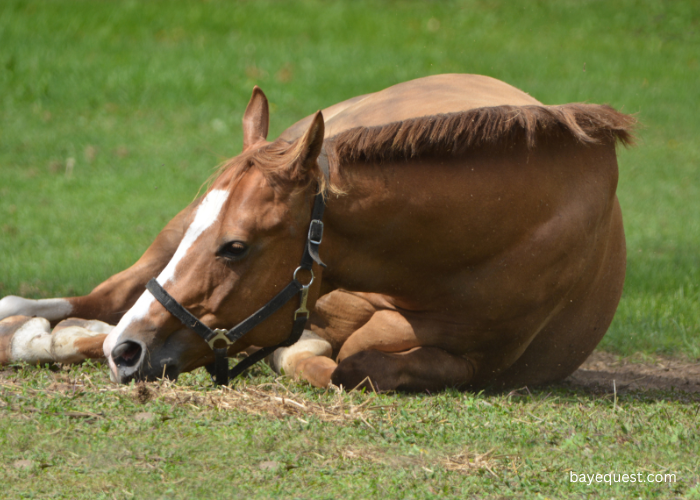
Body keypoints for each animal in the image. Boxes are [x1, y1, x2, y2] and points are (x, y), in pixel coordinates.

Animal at [0, 74, 636, 392]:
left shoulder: (480, 364)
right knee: (101, 298)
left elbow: (351, 366)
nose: (128, 352)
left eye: (236, 247)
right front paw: (42, 337)